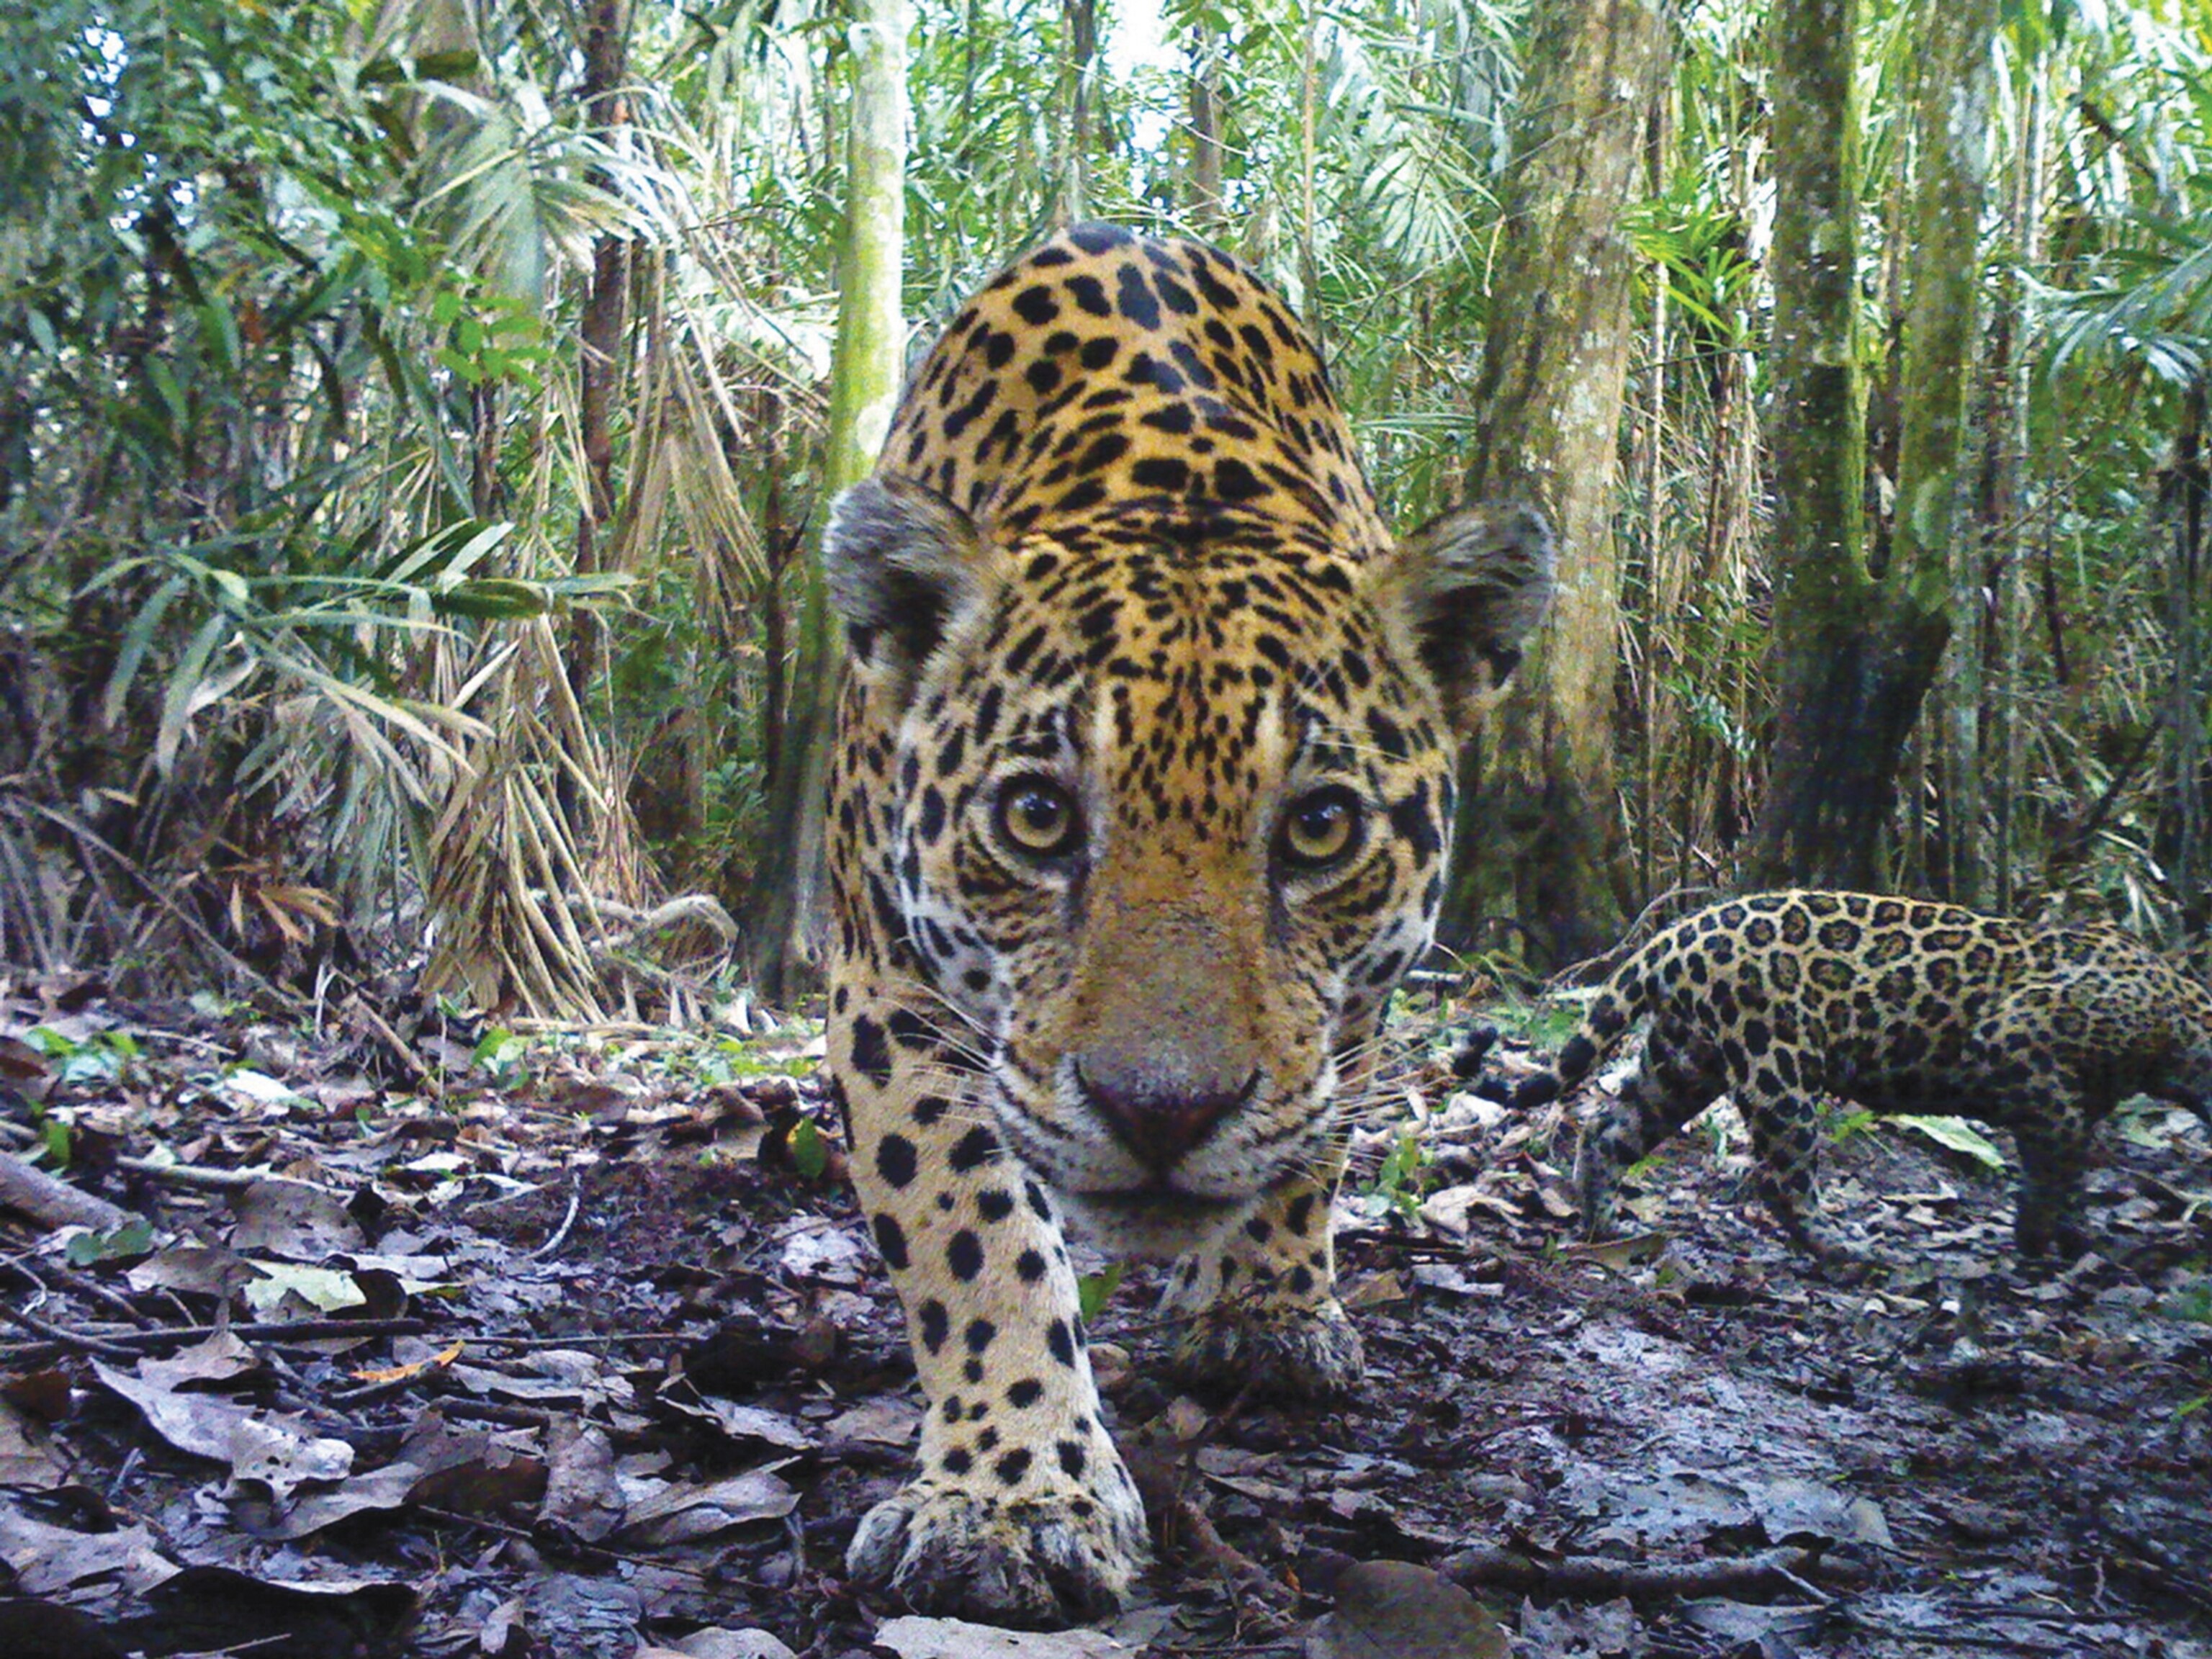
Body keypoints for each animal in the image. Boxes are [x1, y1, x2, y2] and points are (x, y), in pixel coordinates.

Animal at [819, 223, 1554, 1626]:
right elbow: (970, 1233)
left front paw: (1265, 1309)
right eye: (1038, 816)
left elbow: (1313, 1133)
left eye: (1318, 828)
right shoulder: (890, 992)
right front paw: (1010, 1498)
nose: (1161, 1112)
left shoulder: (1351, 1005)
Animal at [1475, 889, 2212, 1265]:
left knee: (1609, 1130)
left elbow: (2075, 1159)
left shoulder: (2080, 1099)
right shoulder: (2019, 1047)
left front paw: (2077, 1235)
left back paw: (1604, 1224)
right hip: (1777, 1066)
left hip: (1683, 1063)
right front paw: (2038, 1241)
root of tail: (1673, 933)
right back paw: (1841, 1246)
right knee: (1784, 1173)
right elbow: (2054, 1158)